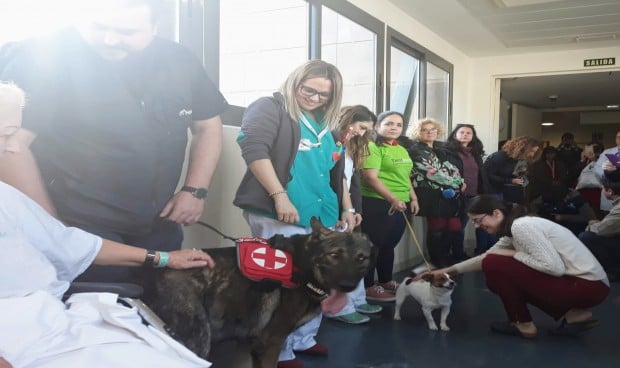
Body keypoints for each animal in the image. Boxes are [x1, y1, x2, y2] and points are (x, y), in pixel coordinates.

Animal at [142, 218, 372, 368]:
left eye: (361, 258)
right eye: (334, 255)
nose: (347, 285)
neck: (303, 266)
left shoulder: (247, 343)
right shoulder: (271, 343)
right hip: (199, 340)